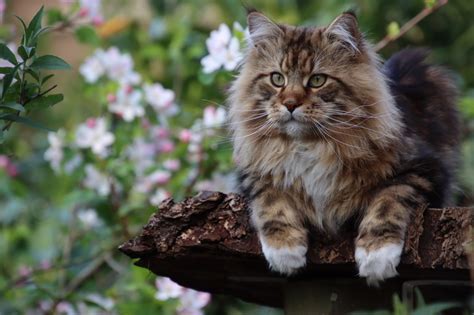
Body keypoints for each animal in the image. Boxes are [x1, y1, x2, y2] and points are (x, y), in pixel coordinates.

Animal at [228, 9, 462, 286]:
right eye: (277, 79)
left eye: (317, 80)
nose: (290, 104)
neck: (309, 146)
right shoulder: (253, 174)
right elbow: (271, 199)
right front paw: (284, 250)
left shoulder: (424, 168)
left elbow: (388, 201)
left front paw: (376, 256)